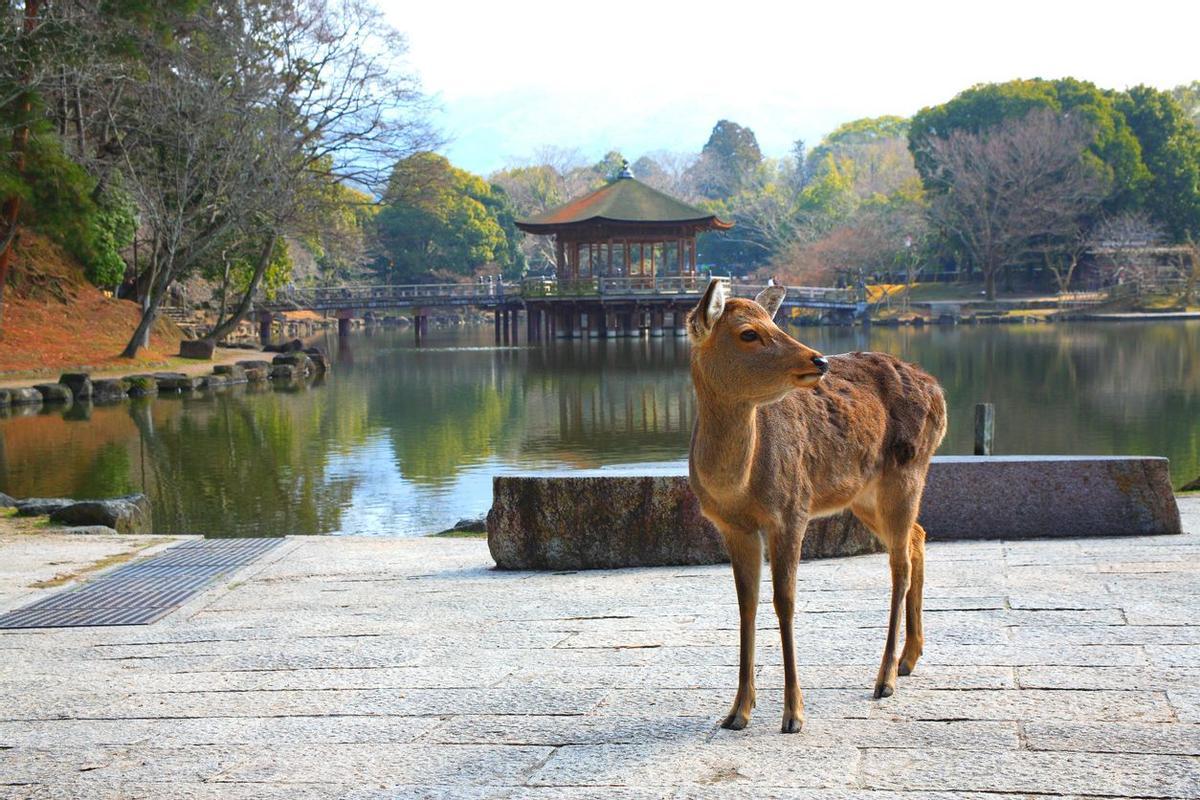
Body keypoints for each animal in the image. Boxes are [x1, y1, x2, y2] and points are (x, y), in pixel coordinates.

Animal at [686, 278, 945, 734]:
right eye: (748, 333)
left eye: (775, 322)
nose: (819, 359)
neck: (738, 486)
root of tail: (939, 391)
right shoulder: (733, 526)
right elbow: (746, 603)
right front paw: (737, 712)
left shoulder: (792, 510)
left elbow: (784, 601)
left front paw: (793, 714)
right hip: (864, 494)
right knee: (918, 535)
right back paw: (909, 658)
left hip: (907, 472)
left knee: (899, 564)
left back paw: (885, 678)